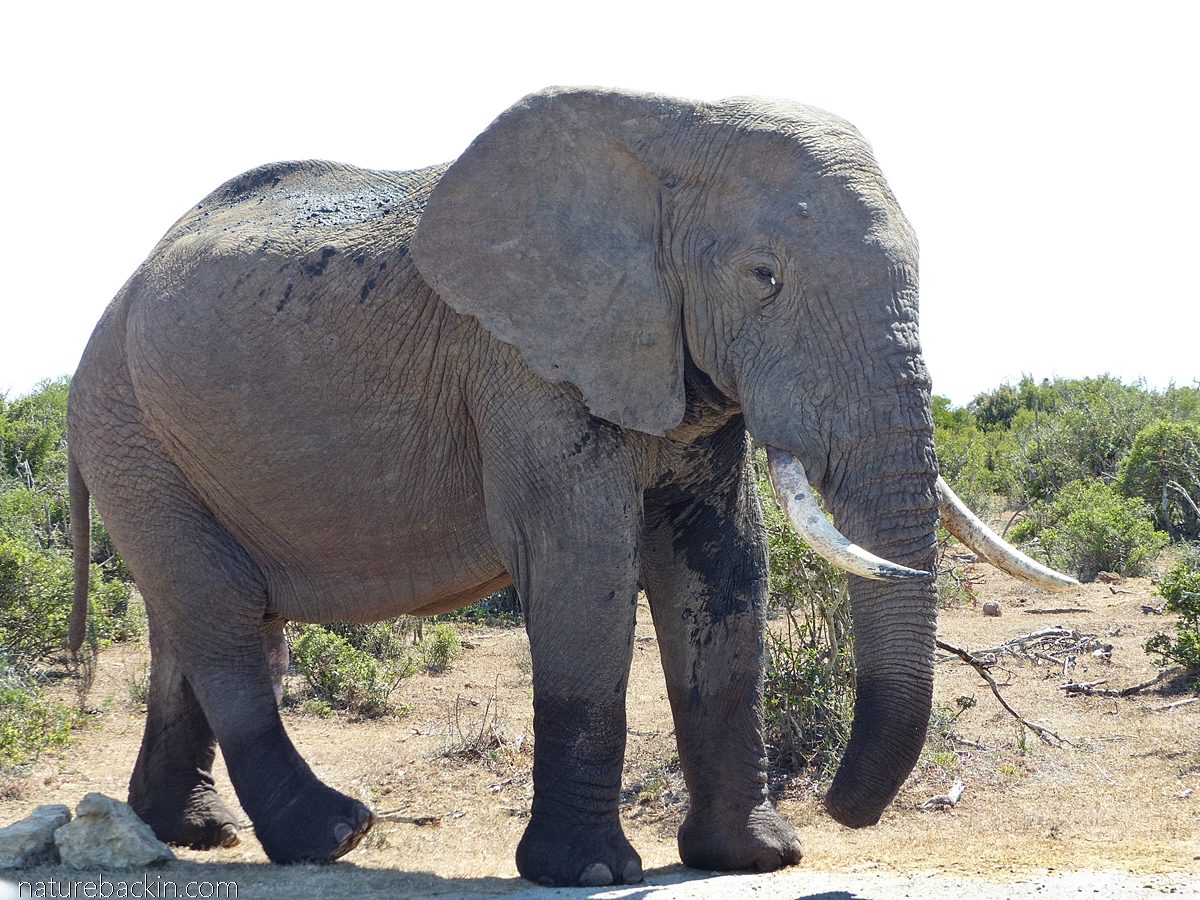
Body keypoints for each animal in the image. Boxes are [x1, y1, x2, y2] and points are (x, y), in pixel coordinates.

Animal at [68, 86, 1080, 888]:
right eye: (763, 277)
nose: (838, 806)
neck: (667, 128)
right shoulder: (519, 363)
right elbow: (583, 557)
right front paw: (590, 873)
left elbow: (723, 559)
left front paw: (754, 858)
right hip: (129, 429)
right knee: (224, 620)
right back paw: (331, 833)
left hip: (147, 439)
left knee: (189, 621)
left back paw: (188, 831)